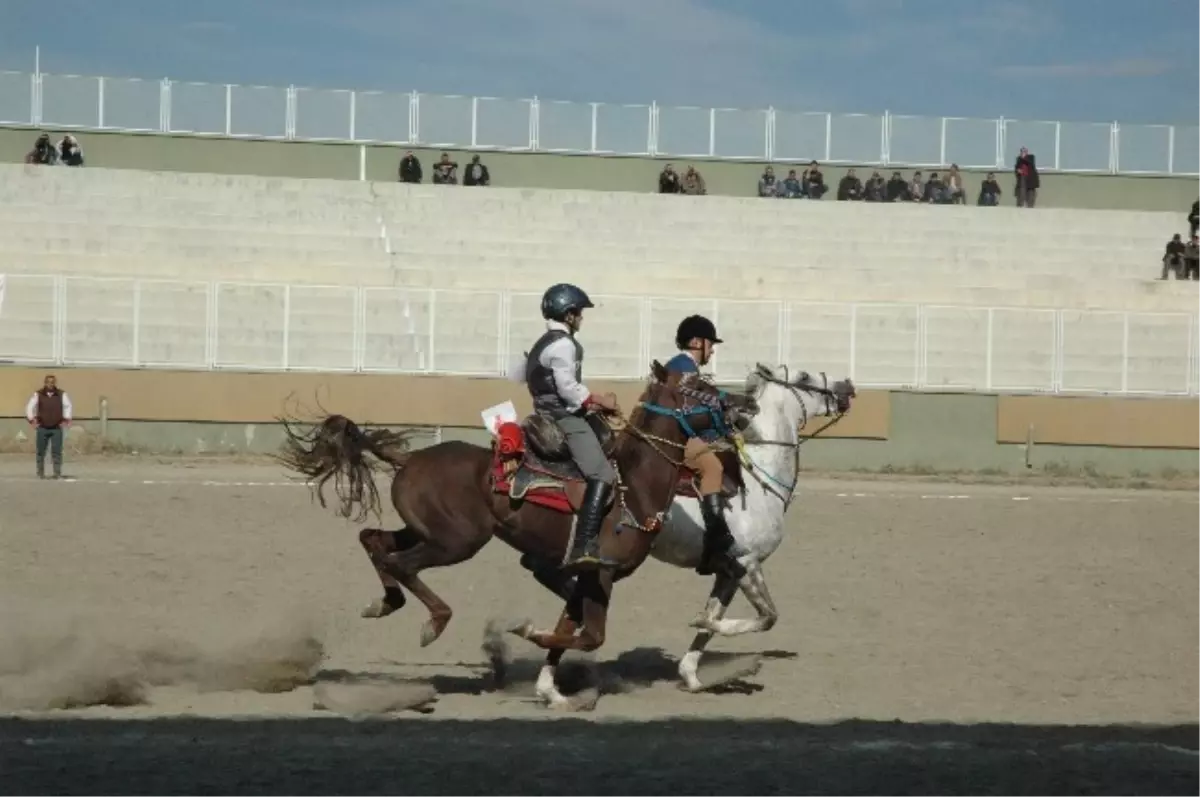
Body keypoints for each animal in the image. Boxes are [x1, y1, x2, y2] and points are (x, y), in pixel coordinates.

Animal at [276, 360, 744, 705]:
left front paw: (550, 690)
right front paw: (527, 634)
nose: (742, 404)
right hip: (456, 542)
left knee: (374, 541)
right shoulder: (600, 572)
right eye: (698, 387)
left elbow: (571, 627)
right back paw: (433, 622)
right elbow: (590, 634)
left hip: (425, 531)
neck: (633, 485)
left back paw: (384, 603)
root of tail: (410, 459)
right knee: (399, 563)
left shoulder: (577, 575)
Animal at [648, 362, 854, 691]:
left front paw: (691, 675)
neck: (761, 478)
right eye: (804, 377)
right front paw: (699, 621)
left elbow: (712, 622)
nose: (846, 385)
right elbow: (768, 617)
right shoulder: (747, 562)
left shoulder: (728, 573)